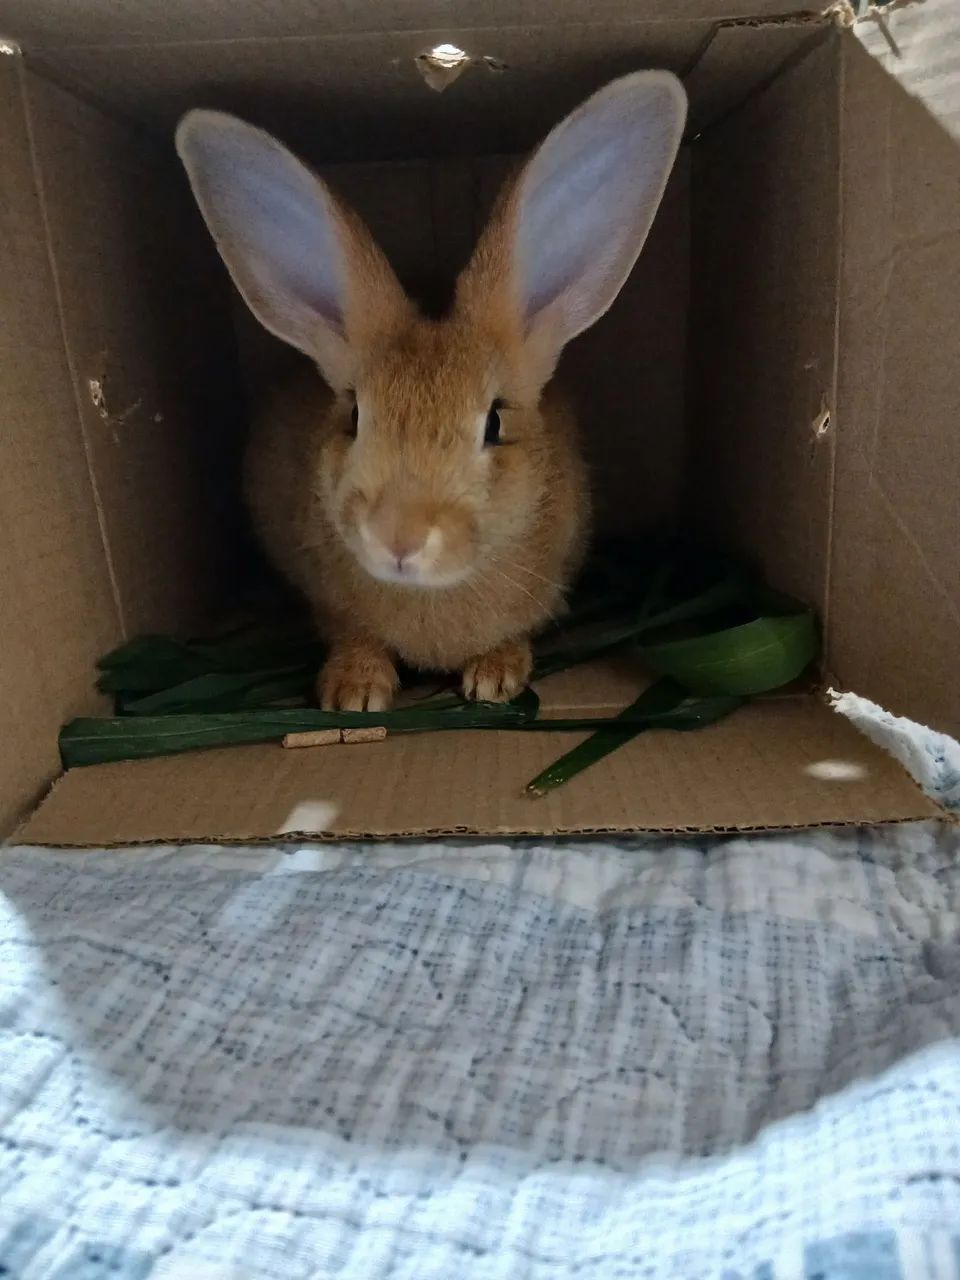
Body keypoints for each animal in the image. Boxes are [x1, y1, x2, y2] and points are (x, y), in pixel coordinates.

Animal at [176, 71, 687, 711]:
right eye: (354, 416)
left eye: (495, 423)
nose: (399, 537)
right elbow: (353, 634)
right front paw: (354, 693)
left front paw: (494, 679)